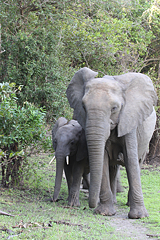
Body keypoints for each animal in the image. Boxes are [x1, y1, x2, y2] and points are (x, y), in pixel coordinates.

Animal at [66, 66, 158, 218]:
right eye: (83, 107)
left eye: (114, 108)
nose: (90, 205)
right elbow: (103, 159)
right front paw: (104, 213)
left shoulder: (129, 118)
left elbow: (131, 159)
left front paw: (138, 216)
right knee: (113, 168)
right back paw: (114, 202)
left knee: (138, 162)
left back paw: (128, 204)